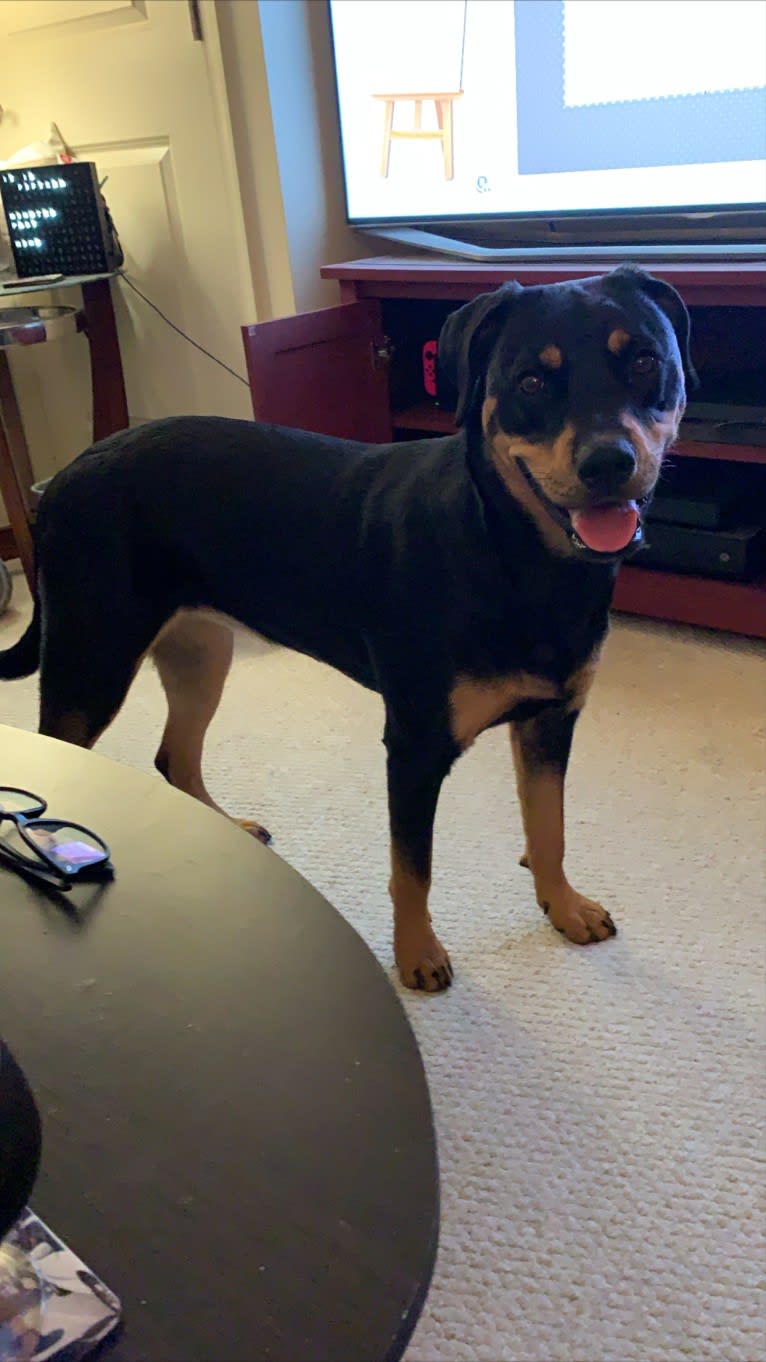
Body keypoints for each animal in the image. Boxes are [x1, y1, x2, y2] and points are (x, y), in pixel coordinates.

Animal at [0, 265, 692, 991]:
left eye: (645, 361)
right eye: (531, 381)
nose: (608, 462)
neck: (516, 554)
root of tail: (63, 478)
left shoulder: (551, 719)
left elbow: (549, 826)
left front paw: (564, 906)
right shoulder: (416, 745)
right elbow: (413, 868)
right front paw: (417, 955)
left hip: (201, 649)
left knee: (175, 756)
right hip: (91, 658)